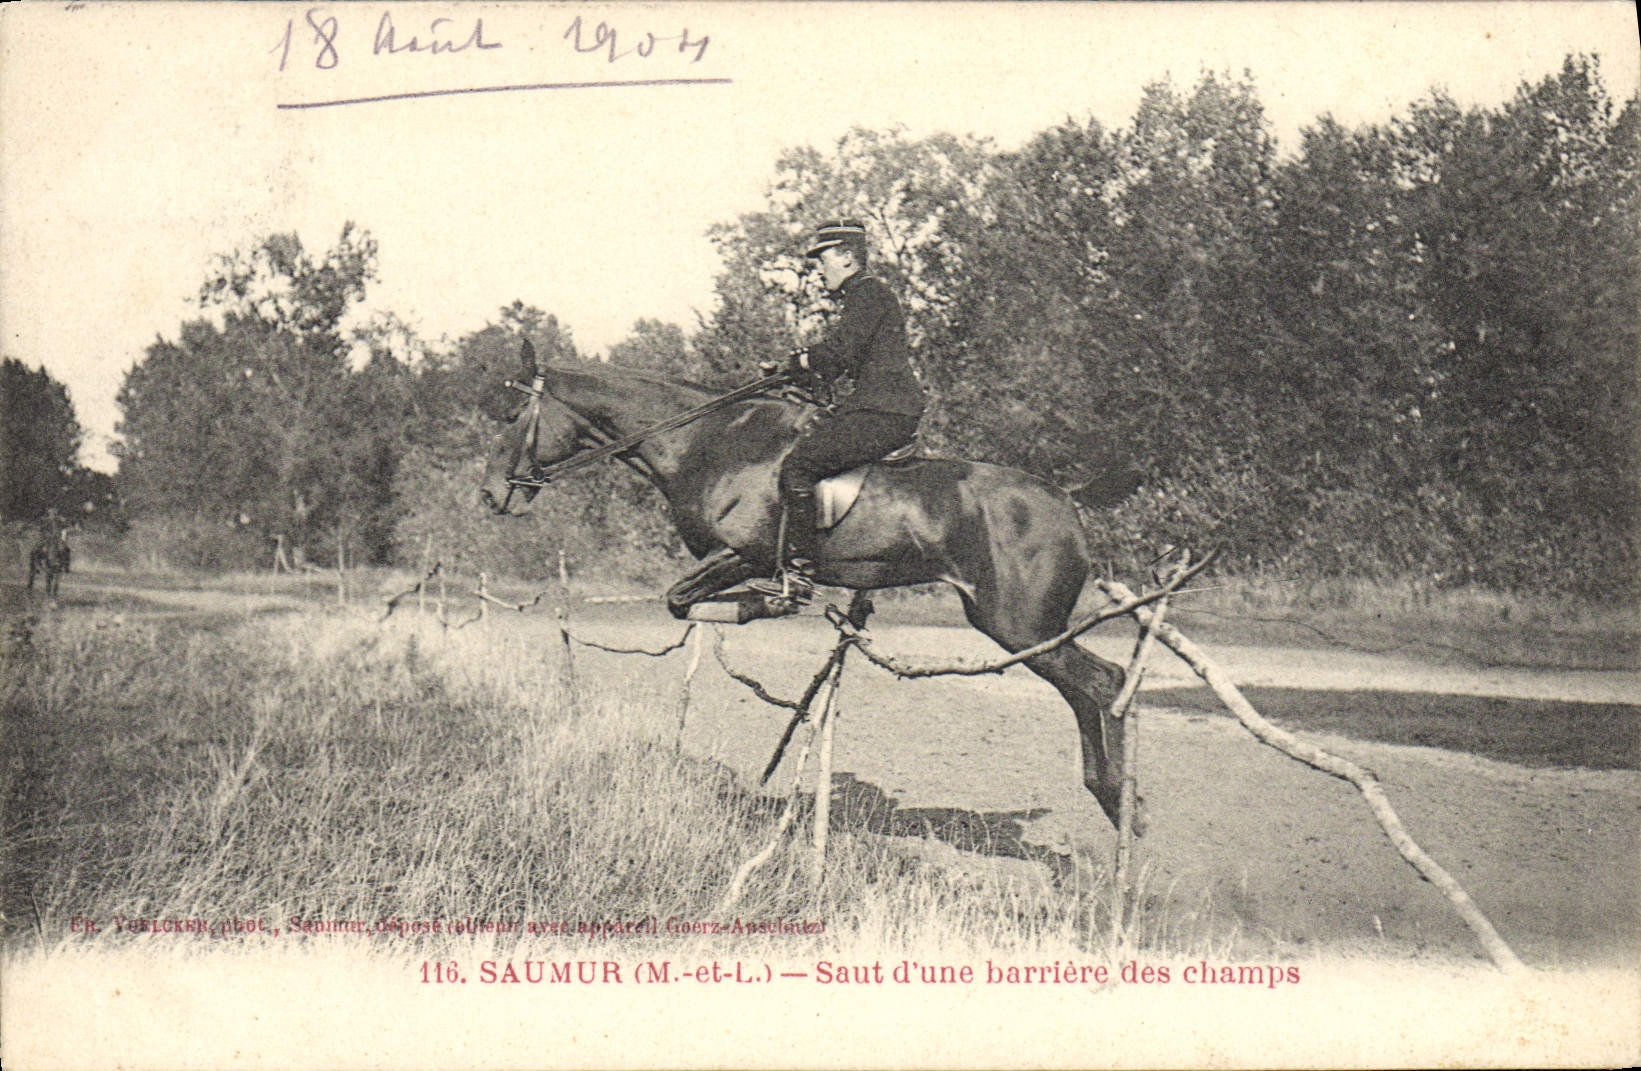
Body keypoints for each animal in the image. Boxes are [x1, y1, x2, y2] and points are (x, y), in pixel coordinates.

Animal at [480, 342, 1138, 831]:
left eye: (511, 418)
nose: (490, 496)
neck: (707, 442)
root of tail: (1066, 499)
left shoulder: (741, 553)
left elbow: (681, 600)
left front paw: (771, 605)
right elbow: (682, 604)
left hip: (1021, 624)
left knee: (1103, 683)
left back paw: (1120, 802)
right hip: (1018, 627)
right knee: (1090, 691)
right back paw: (1111, 797)